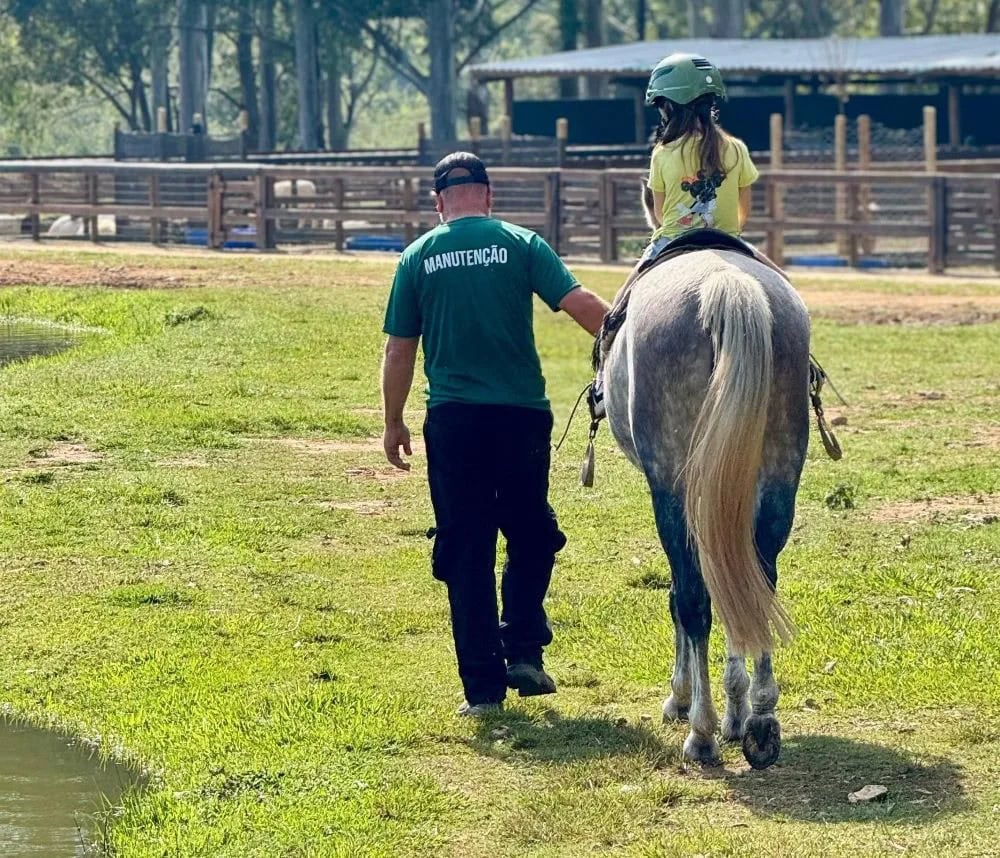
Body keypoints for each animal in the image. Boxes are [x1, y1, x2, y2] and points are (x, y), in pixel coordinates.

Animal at [601, 240, 811, 769]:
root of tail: (726, 284)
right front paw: (738, 714)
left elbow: (682, 599)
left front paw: (682, 699)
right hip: (777, 478)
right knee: (756, 587)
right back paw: (760, 722)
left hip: (672, 488)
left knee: (693, 600)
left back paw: (701, 732)